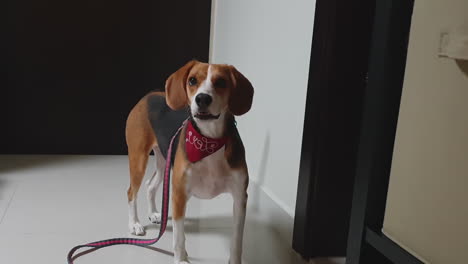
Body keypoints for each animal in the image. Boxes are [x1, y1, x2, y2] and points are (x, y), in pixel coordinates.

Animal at [125, 60, 252, 264]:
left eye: (222, 82)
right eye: (192, 80)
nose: (202, 99)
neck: (209, 141)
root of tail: (148, 96)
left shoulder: (240, 197)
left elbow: (237, 240)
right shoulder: (179, 194)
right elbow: (179, 237)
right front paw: (181, 259)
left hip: (164, 160)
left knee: (150, 185)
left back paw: (153, 213)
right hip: (138, 158)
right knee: (131, 192)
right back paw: (135, 224)